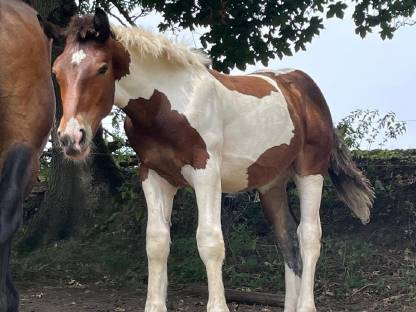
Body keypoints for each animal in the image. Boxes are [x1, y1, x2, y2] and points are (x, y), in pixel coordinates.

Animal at [51, 9, 374, 312]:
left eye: (102, 68)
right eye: (56, 71)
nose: (71, 138)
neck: (168, 105)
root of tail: (305, 89)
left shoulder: (206, 172)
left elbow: (209, 241)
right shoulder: (153, 175)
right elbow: (156, 242)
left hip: (310, 171)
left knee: (308, 235)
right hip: (272, 185)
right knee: (287, 240)